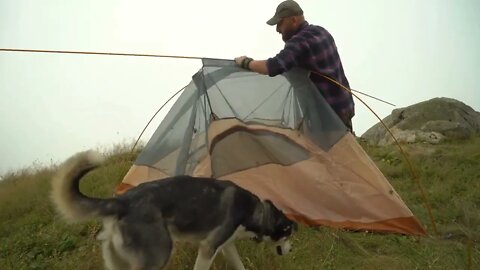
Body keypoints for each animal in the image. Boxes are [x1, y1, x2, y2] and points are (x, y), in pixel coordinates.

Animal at [50, 151, 294, 268]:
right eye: (289, 235)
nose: (291, 251)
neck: (256, 211)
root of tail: (122, 201)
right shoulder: (208, 248)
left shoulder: (225, 246)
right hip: (159, 254)